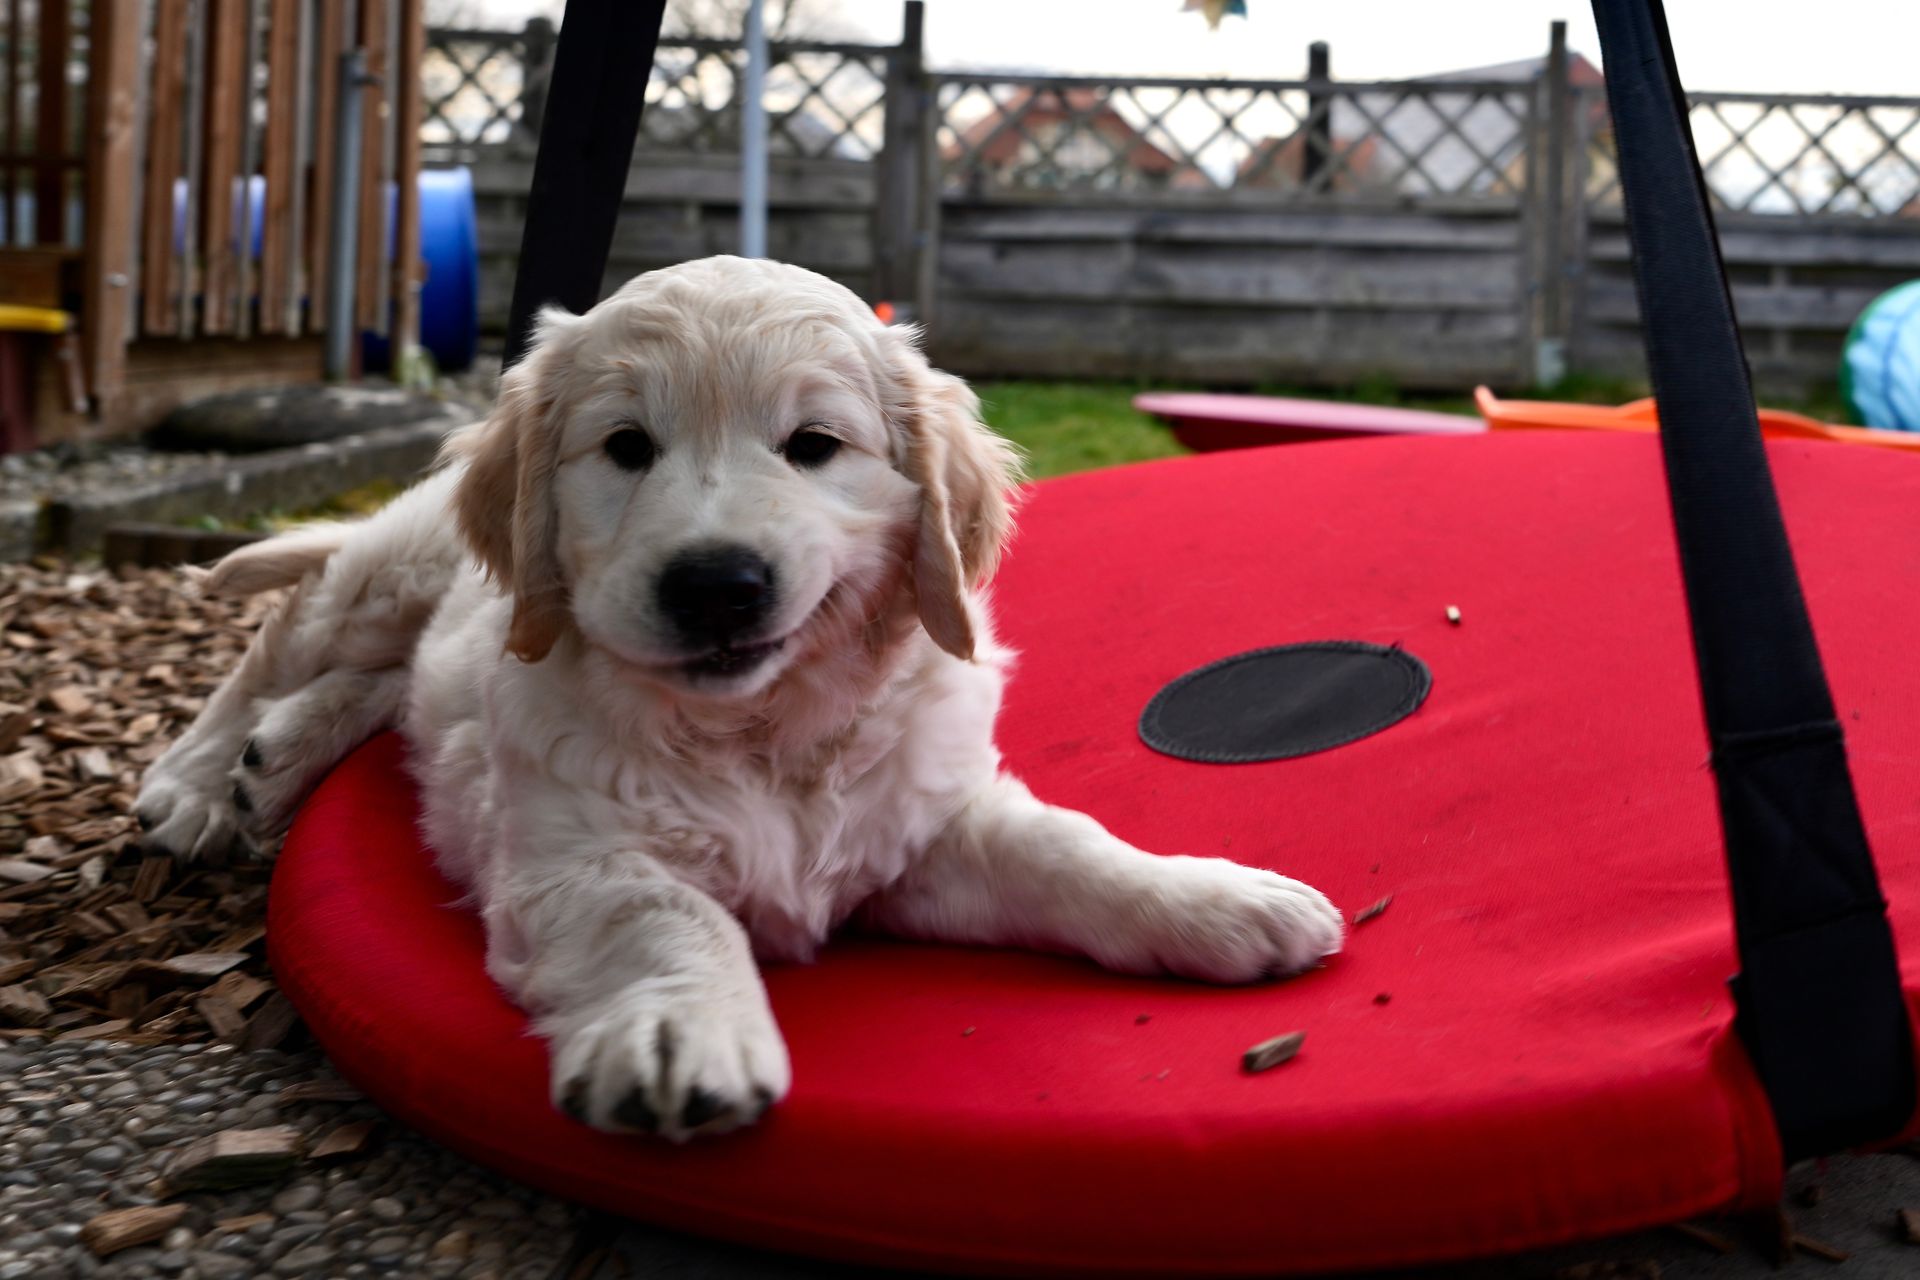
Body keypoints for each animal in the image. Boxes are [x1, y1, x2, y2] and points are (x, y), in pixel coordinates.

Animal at [136, 257, 1344, 1140]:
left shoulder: (920, 832)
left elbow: (1069, 850)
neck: (762, 734)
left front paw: (1213, 899)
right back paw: (198, 782)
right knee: (283, 643)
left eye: (814, 444)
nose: (716, 581)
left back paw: (278, 757)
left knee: (391, 691)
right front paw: (682, 1031)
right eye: (626, 446)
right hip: (395, 570)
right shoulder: (571, 862)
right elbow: (668, 912)